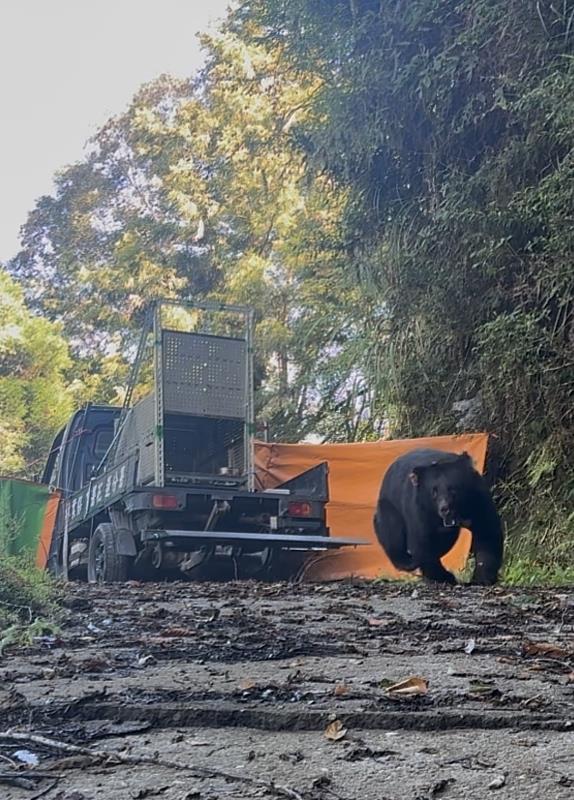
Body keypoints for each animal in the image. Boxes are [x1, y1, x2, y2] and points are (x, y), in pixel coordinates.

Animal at [373, 448, 503, 585]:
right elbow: (423, 543)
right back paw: (408, 561)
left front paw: (482, 578)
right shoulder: (420, 509)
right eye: (434, 492)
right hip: (389, 506)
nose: (444, 509)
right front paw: (446, 577)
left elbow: (487, 533)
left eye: (453, 489)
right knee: (393, 535)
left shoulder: (478, 499)